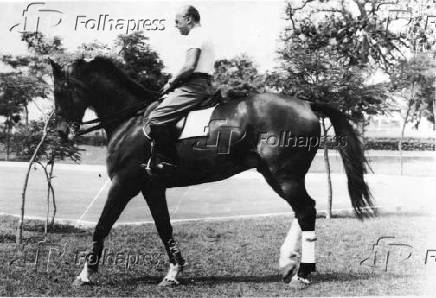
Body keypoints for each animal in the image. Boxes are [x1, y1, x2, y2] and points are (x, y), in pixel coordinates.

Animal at [48, 55, 374, 286]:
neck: (132, 120)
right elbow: (164, 226)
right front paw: (173, 273)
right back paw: (288, 263)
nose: (61, 131)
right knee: (304, 209)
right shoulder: (151, 186)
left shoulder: (124, 183)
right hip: (274, 175)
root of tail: (306, 104)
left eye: (62, 91)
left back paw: (302, 274)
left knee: (306, 210)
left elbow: (102, 225)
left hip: (285, 176)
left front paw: (85, 274)